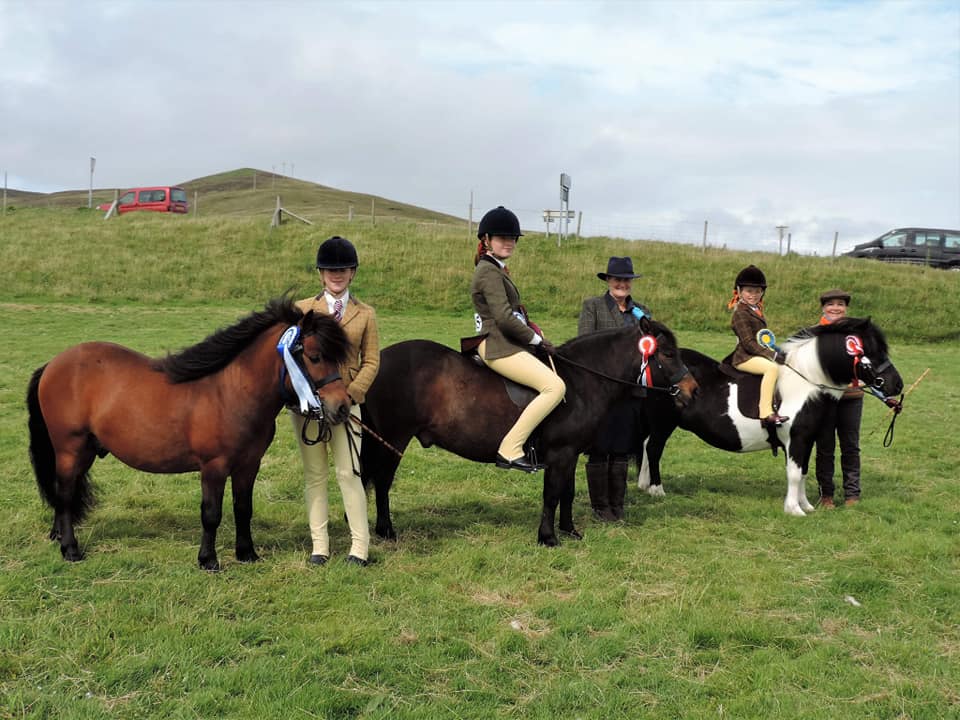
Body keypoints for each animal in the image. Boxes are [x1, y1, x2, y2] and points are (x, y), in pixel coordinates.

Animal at [26, 297, 352, 570]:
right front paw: (208, 560)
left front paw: (247, 553)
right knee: (64, 493)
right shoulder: (214, 467)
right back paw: (70, 549)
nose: (341, 407)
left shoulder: (248, 465)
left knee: (65, 492)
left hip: (86, 451)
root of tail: (54, 363)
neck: (230, 392)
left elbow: (243, 508)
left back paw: (59, 536)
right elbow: (211, 514)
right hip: (70, 448)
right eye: (314, 356)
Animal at [359, 318, 699, 547]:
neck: (581, 382)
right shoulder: (560, 453)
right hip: (393, 440)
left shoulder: (570, 454)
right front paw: (548, 538)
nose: (692, 390)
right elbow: (552, 494)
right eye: (668, 353)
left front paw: (570, 530)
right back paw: (386, 531)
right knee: (383, 482)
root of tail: (379, 360)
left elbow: (567, 493)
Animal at [633, 317, 903, 515]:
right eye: (872, 351)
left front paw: (806, 506)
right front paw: (794, 510)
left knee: (645, 446)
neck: (805, 383)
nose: (897, 385)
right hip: (663, 423)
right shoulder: (796, 440)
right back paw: (656, 490)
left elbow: (803, 472)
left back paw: (643, 485)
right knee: (654, 449)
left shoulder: (808, 440)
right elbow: (794, 473)